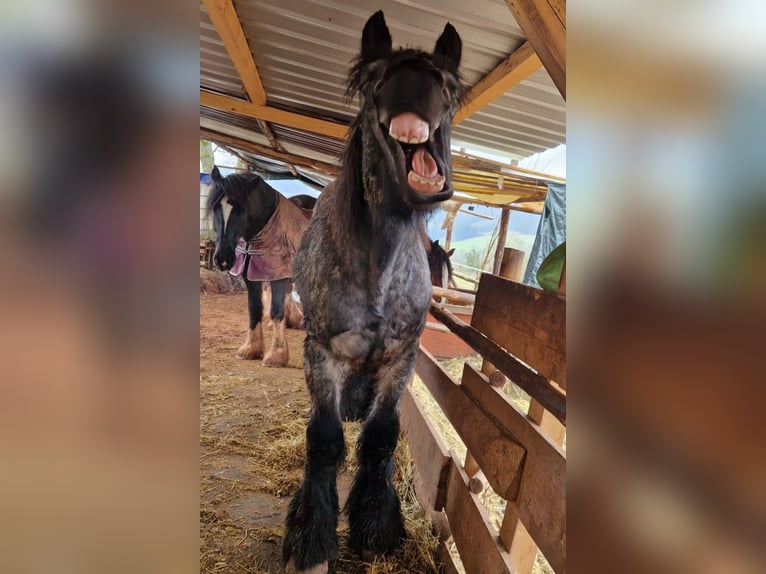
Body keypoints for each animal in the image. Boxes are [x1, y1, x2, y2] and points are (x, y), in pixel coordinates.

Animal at [207, 169, 316, 368]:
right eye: (215, 206)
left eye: (241, 209)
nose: (223, 260)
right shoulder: (251, 276)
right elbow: (254, 309)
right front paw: (251, 349)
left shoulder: (278, 275)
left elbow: (276, 311)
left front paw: (277, 355)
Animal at [282, 11, 462, 572]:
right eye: (371, 79)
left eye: (450, 86)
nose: (415, 86)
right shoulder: (323, 353)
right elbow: (323, 441)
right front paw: (311, 538)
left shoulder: (402, 357)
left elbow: (380, 437)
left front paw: (377, 527)